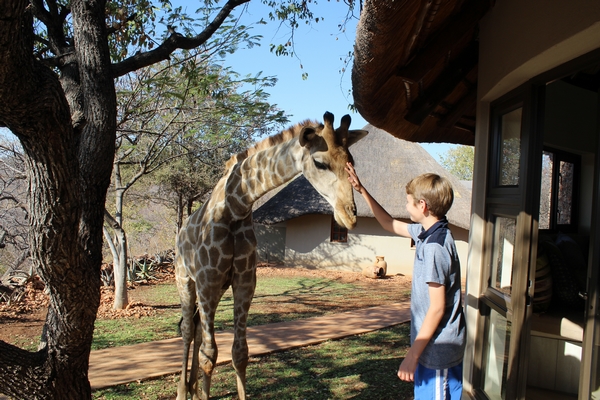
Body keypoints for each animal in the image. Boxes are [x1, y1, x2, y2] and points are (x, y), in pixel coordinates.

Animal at [175, 111, 366, 398]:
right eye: (319, 163)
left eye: (351, 162)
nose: (350, 216)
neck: (236, 205)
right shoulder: (207, 282)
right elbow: (209, 355)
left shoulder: (243, 282)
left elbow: (239, 353)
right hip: (186, 280)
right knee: (188, 329)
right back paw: (182, 391)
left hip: (215, 288)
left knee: (197, 327)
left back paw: (193, 387)